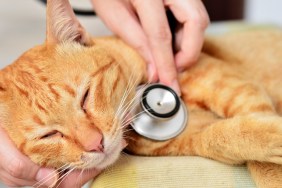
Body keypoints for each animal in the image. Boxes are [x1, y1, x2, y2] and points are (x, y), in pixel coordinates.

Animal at [0, 0, 282, 187]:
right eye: (48, 135)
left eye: (85, 96)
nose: (96, 144)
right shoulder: (191, 137)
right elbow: (223, 136)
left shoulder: (224, 81)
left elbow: (256, 126)